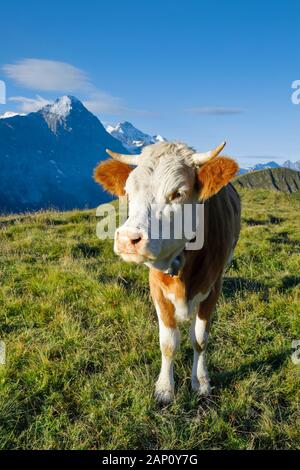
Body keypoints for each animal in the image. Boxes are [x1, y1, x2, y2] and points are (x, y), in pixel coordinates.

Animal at [94, 140, 241, 404]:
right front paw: (164, 389)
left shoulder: (213, 287)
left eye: (177, 194)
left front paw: (200, 382)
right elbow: (168, 342)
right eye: (128, 192)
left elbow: (200, 339)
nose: (128, 239)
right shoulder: (157, 288)